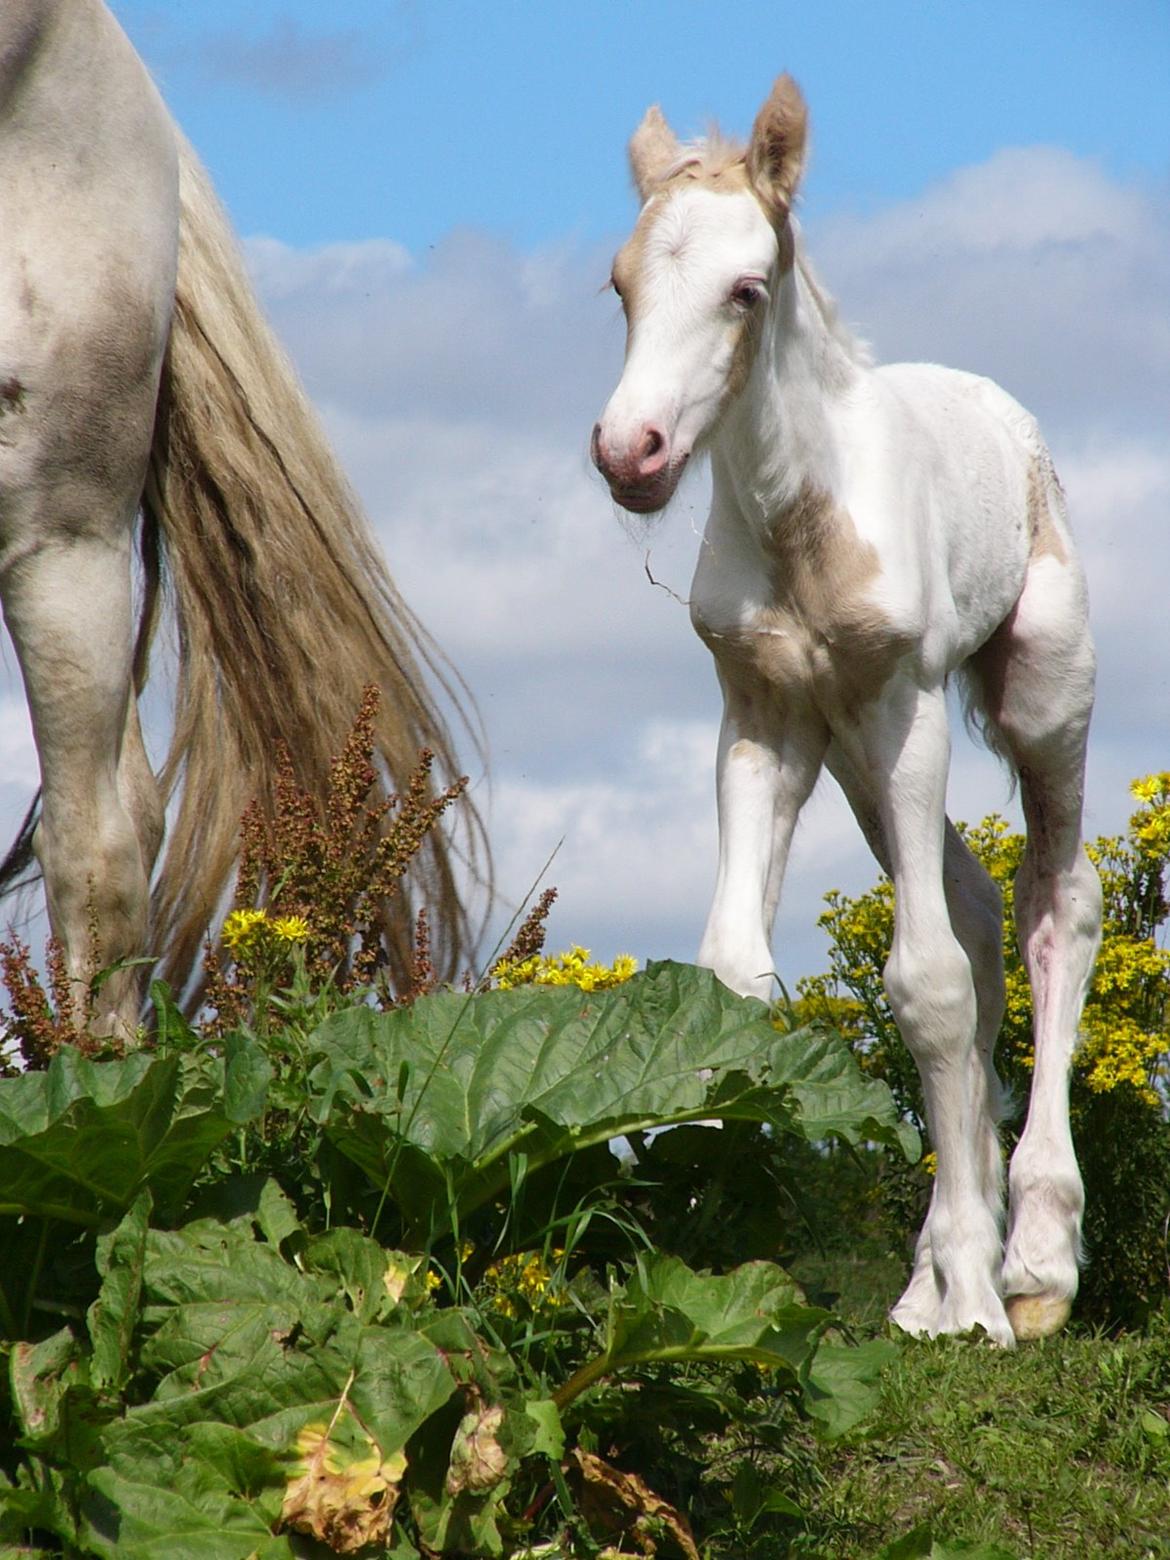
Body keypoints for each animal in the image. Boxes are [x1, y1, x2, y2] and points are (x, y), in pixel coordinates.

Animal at [589, 73, 1104, 1341]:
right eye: (621, 286)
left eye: (746, 289)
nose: (631, 452)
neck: (801, 524)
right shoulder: (764, 714)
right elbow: (737, 978)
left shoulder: (899, 702)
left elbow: (922, 984)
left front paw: (976, 1291)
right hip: (860, 766)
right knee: (975, 912)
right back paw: (934, 1273)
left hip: (1034, 696)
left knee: (1056, 904)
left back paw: (1032, 1266)